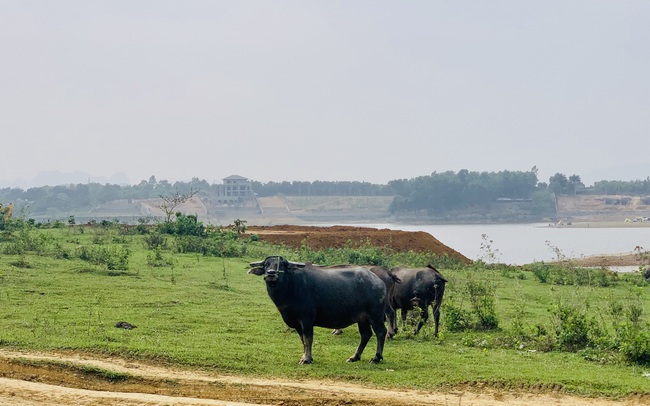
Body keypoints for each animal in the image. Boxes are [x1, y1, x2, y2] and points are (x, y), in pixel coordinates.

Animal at [247, 255, 384, 364]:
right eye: (266, 264)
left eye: (281, 264)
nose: (271, 273)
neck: (290, 286)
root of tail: (378, 281)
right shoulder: (296, 323)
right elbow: (303, 340)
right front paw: (306, 356)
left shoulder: (306, 320)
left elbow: (308, 339)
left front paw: (306, 359)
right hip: (362, 318)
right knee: (365, 334)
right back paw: (355, 357)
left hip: (375, 315)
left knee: (381, 332)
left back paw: (376, 358)